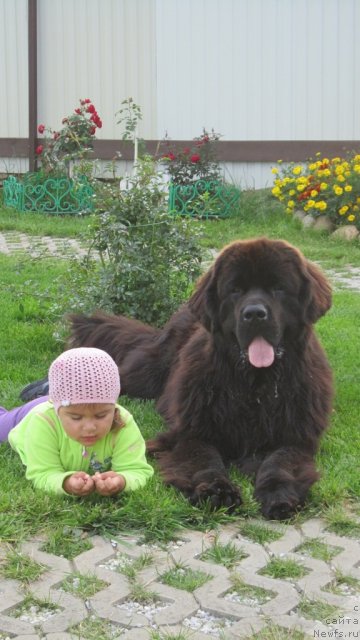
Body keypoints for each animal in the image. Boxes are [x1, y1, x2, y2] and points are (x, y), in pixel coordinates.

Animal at [23, 238, 334, 516]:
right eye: (235, 290)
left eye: (279, 288)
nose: (254, 314)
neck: (253, 385)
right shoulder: (191, 431)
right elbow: (204, 458)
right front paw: (217, 491)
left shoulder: (296, 437)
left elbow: (280, 462)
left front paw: (279, 494)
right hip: (147, 374)